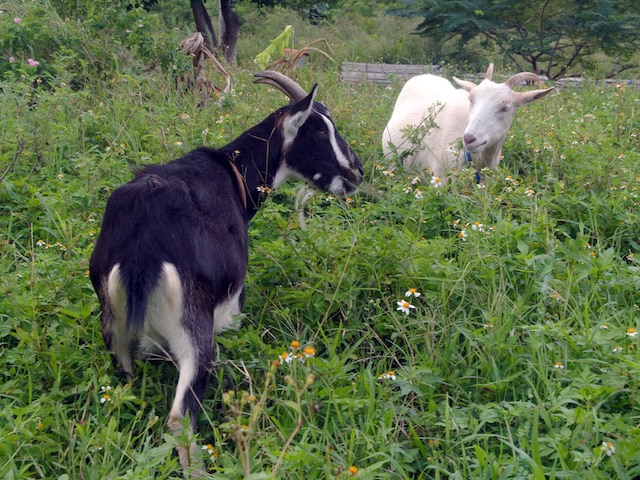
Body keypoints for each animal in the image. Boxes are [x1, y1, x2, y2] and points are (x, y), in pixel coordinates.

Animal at [88, 71, 362, 472]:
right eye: (317, 133)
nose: (356, 171)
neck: (234, 175)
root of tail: (142, 249)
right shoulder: (231, 305)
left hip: (114, 329)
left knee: (123, 386)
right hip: (193, 329)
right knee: (180, 415)